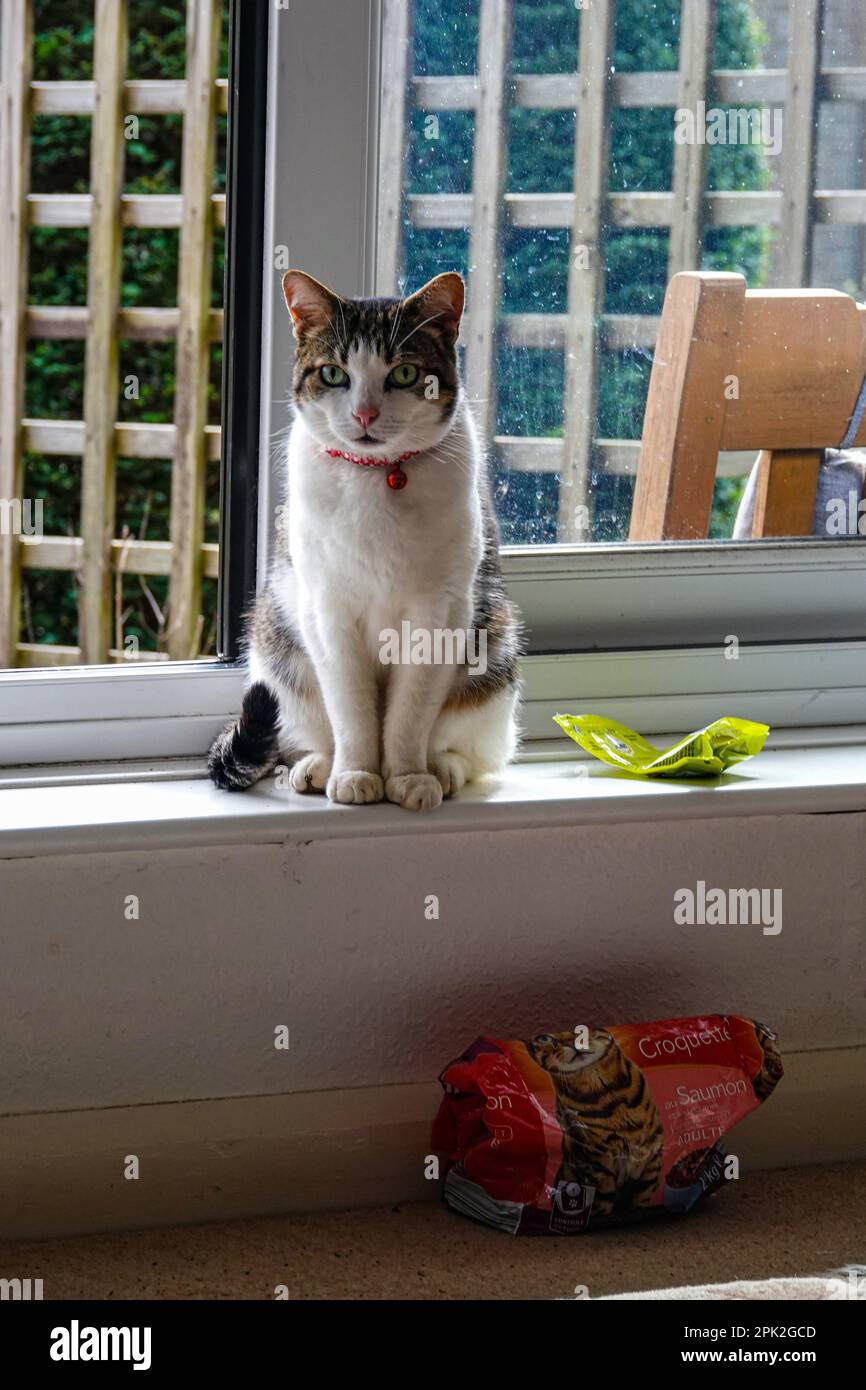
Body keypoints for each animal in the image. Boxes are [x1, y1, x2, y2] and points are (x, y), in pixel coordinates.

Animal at [209, 266, 522, 811]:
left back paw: (441, 770)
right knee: (303, 730)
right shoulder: (328, 611)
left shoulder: (439, 612)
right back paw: (317, 767)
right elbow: (352, 708)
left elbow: (408, 713)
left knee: (473, 748)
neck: (378, 479)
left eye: (405, 374)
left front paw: (408, 777)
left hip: (495, 653)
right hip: (276, 650)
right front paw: (355, 774)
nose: (365, 414)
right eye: (334, 374)